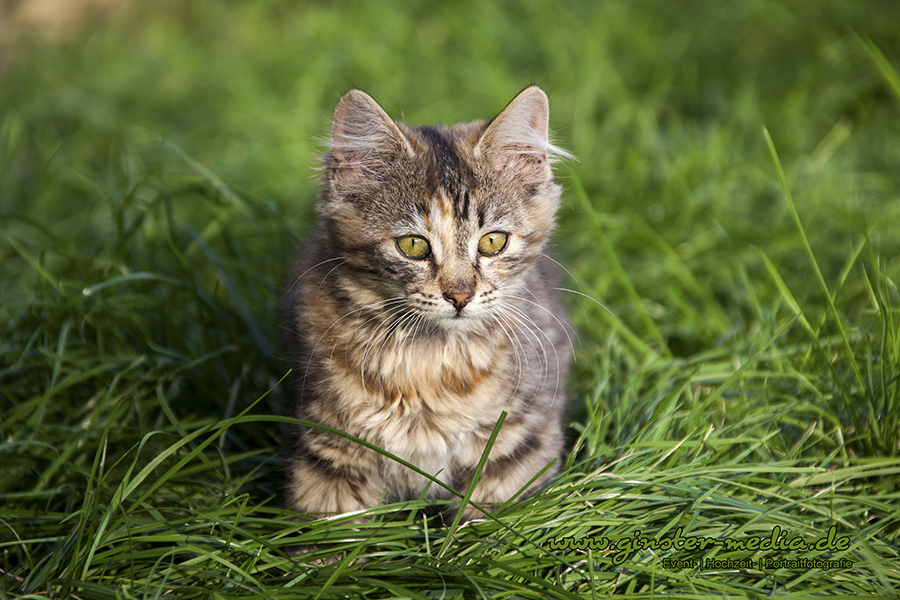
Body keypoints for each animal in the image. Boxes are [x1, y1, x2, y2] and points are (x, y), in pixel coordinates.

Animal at [284, 86, 572, 524]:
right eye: (413, 246)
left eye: (493, 242)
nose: (460, 296)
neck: (427, 363)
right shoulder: (330, 448)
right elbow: (326, 529)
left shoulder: (516, 445)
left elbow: (488, 527)